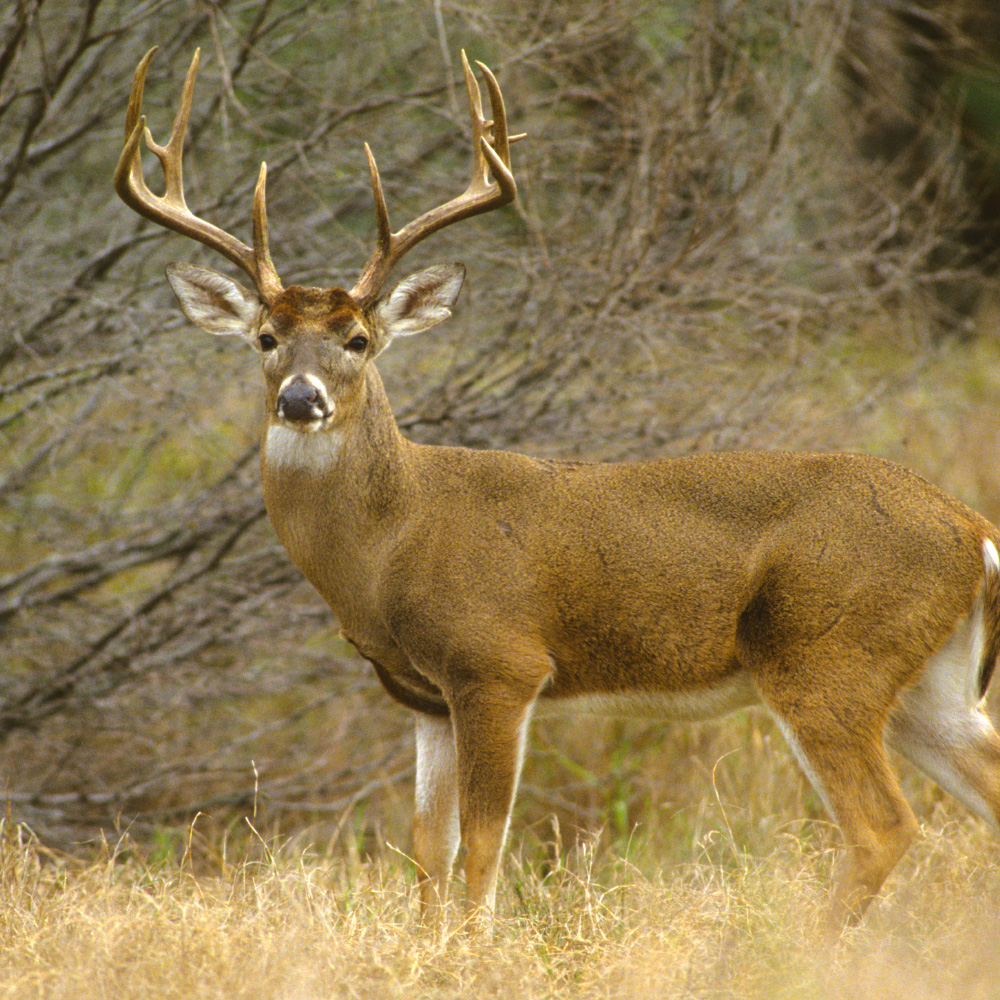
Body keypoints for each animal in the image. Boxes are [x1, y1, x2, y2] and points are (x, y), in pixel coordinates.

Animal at [113, 48, 1000, 936]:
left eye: (358, 340)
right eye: (266, 338)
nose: (302, 399)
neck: (392, 541)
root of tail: (971, 528)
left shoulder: (499, 663)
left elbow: (482, 843)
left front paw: (473, 949)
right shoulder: (425, 698)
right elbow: (426, 849)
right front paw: (429, 947)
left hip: (826, 654)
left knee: (882, 824)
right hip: (927, 682)